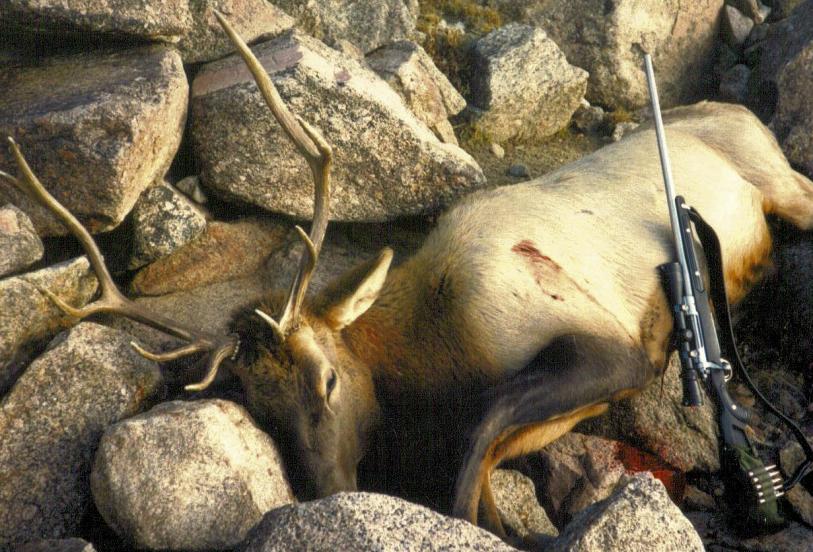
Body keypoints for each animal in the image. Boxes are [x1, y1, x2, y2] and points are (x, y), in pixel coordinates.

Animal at [4, 13, 813, 538]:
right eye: (258, 407)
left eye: (329, 378)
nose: (324, 492)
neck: (434, 355)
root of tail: (733, 107)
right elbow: (486, 479)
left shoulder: (603, 340)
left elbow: (476, 442)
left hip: (779, 179)